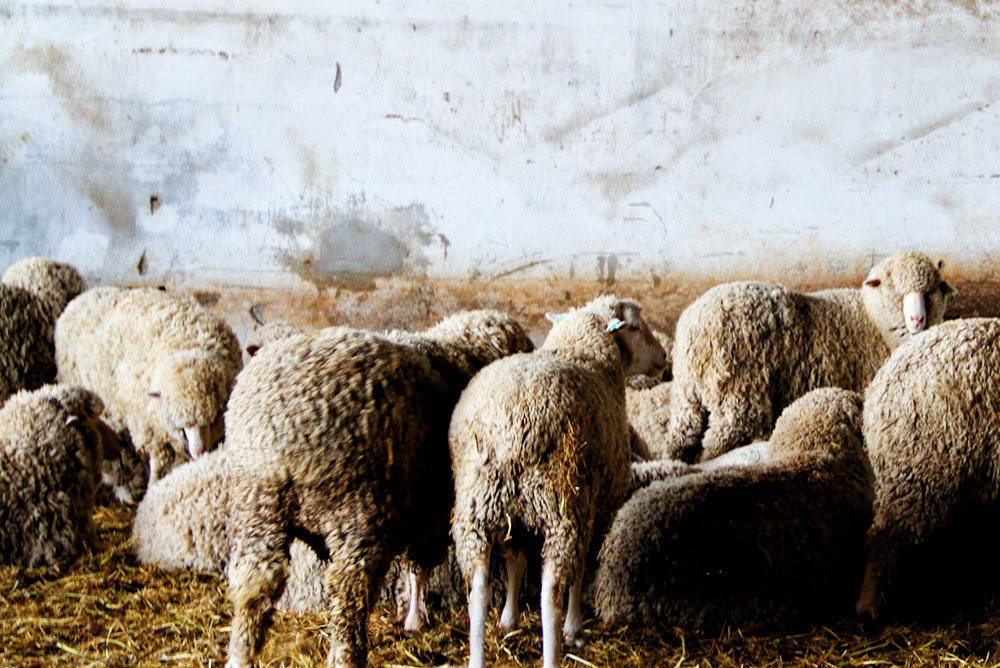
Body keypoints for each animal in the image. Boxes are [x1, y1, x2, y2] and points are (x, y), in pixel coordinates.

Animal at [55, 287, 242, 482]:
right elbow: (158, 464)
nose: (199, 452)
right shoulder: (149, 429)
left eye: (213, 417)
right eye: (180, 423)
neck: (188, 347)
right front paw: (153, 483)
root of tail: (82, 297)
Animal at [223, 310, 534, 668]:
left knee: (255, 581)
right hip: (355, 511)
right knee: (349, 589)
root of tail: (289, 430)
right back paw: (347, 655)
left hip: (257, 507)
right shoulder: (433, 512)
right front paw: (415, 617)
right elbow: (419, 565)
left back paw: (240, 655)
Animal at [449, 295, 667, 668]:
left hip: (479, 507)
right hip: (559, 505)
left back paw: (477, 655)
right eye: (637, 327)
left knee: (477, 590)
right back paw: (555, 649)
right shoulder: (595, 504)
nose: (664, 357)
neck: (581, 352)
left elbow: (515, 563)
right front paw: (574, 629)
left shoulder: (519, 521)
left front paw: (509, 619)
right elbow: (580, 571)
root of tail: (509, 425)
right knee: (550, 592)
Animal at [664, 251, 952, 463]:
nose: (917, 320)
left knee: (680, 438)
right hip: (738, 396)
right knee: (718, 443)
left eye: (931, 291)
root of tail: (693, 329)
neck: (871, 320)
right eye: (895, 290)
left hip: (687, 401)